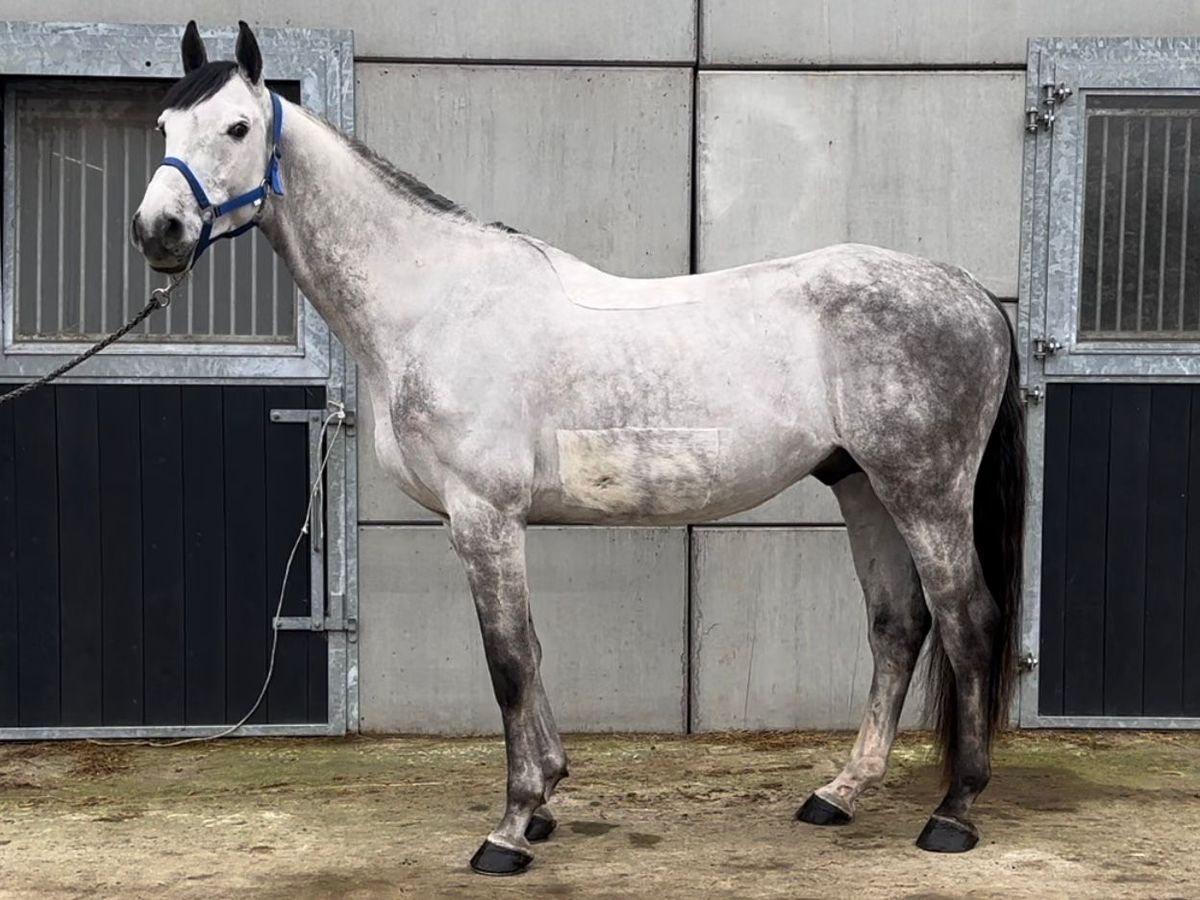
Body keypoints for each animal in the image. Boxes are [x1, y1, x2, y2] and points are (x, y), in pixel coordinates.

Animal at [132, 21, 1026, 876]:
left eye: (238, 126)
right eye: (165, 124)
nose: (158, 231)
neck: (433, 300)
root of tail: (971, 292)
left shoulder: (484, 517)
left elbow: (506, 663)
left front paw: (511, 828)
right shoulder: (488, 525)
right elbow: (529, 651)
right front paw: (548, 798)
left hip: (925, 491)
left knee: (968, 621)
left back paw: (953, 813)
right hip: (862, 485)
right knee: (897, 626)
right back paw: (839, 793)